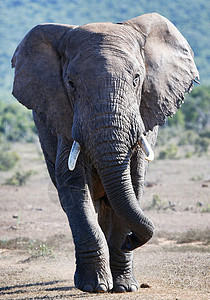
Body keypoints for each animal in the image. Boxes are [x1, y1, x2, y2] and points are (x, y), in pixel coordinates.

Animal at [11, 13, 199, 292]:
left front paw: (125, 286)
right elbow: (74, 188)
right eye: (71, 84)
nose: (132, 240)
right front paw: (94, 286)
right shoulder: (64, 116)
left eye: (136, 78)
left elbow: (133, 183)